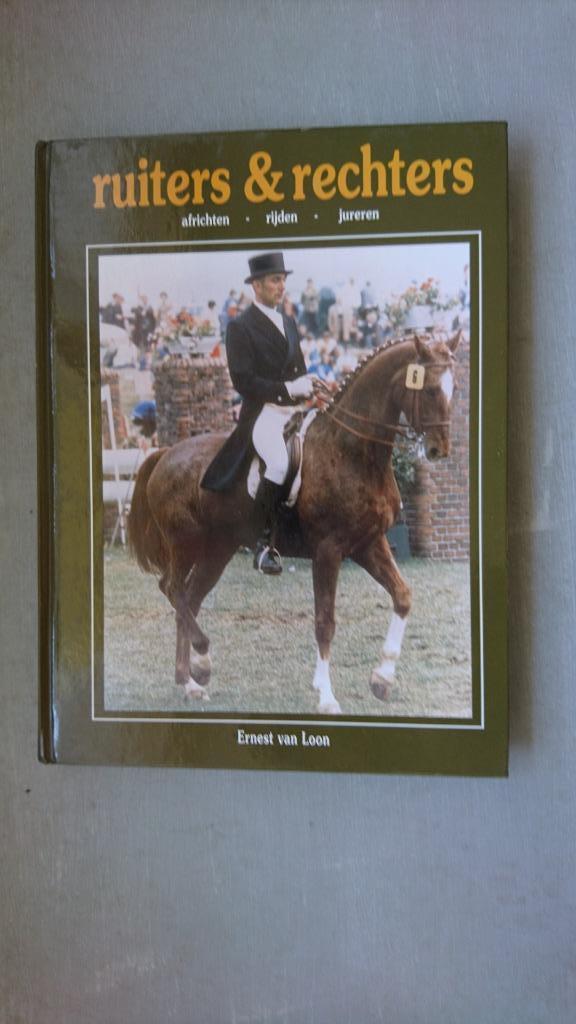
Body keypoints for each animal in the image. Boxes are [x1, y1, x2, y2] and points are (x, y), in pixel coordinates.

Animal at [127, 331, 462, 715]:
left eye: (454, 387)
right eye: (431, 390)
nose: (439, 450)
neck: (350, 450)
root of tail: (165, 453)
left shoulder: (368, 543)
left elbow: (403, 596)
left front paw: (382, 679)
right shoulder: (328, 551)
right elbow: (324, 621)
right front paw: (327, 696)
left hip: (217, 550)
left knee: (189, 598)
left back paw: (190, 680)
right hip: (185, 544)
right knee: (172, 590)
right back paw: (202, 660)